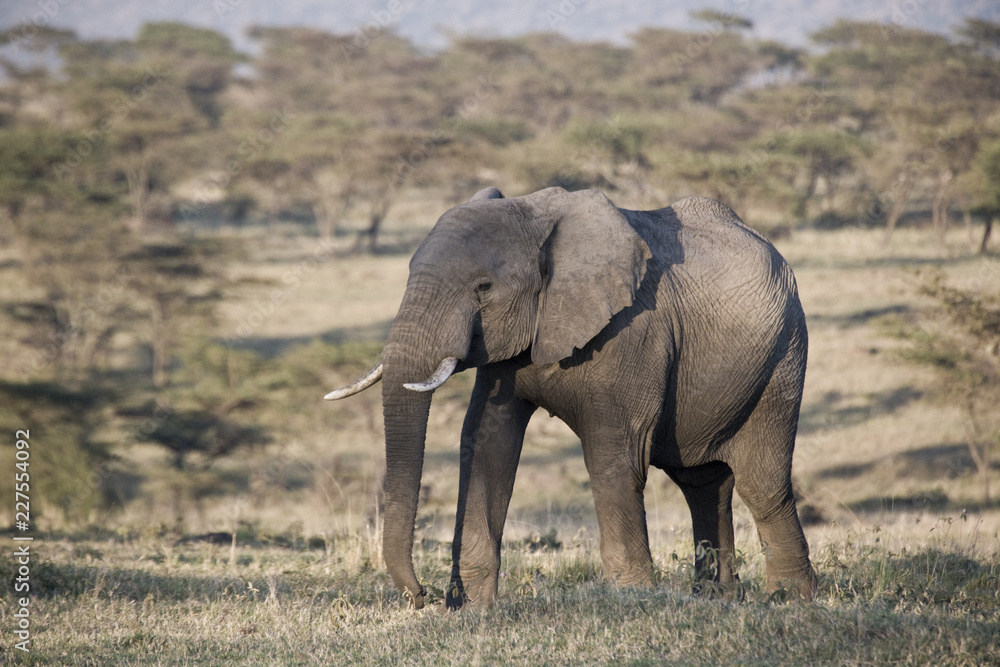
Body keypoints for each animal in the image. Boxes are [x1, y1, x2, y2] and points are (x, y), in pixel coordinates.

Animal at [324, 185, 816, 608]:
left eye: (483, 287)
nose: (421, 596)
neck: (536, 217)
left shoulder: (632, 331)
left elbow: (614, 456)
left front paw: (631, 603)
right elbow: (487, 444)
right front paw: (471, 611)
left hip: (783, 360)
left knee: (762, 485)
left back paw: (789, 599)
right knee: (703, 484)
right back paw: (716, 601)